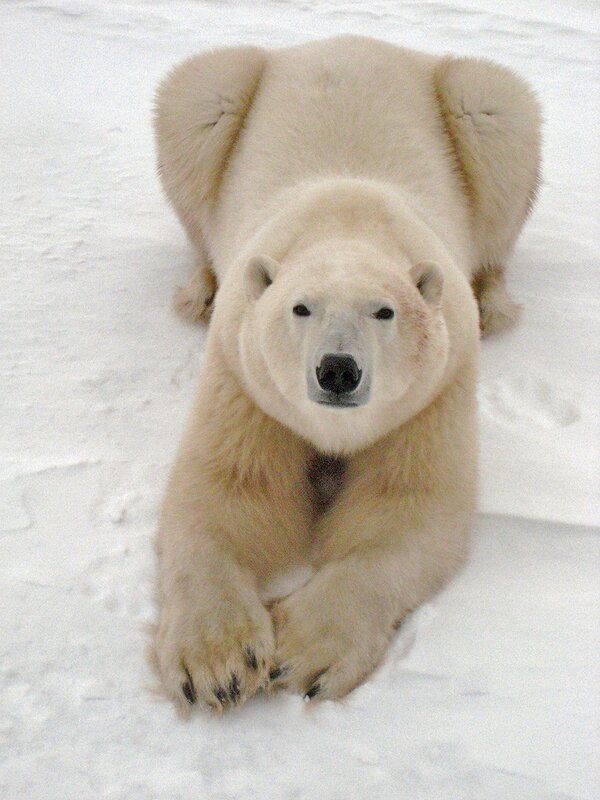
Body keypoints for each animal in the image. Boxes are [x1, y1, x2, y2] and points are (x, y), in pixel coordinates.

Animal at [150, 36, 541, 712]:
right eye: (300, 307)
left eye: (384, 311)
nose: (338, 370)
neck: (348, 218)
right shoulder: (244, 376)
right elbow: (228, 492)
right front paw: (218, 662)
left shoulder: (434, 389)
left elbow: (404, 508)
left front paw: (304, 652)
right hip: (222, 95)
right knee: (199, 103)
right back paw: (198, 290)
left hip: (477, 111)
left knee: (496, 116)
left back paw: (494, 299)